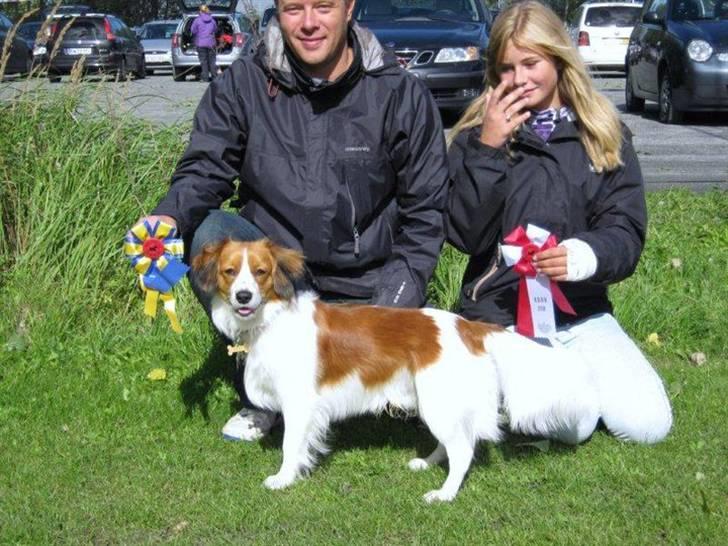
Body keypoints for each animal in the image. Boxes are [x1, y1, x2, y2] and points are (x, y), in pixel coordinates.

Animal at [192, 238, 596, 502]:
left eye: (260, 273)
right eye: (230, 272)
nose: (244, 296)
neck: (270, 319)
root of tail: (467, 326)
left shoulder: (299, 402)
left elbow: (292, 444)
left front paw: (284, 478)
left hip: (437, 401)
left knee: (463, 450)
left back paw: (444, 493)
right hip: (436, 401)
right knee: (453, 442)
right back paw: (427, 462)